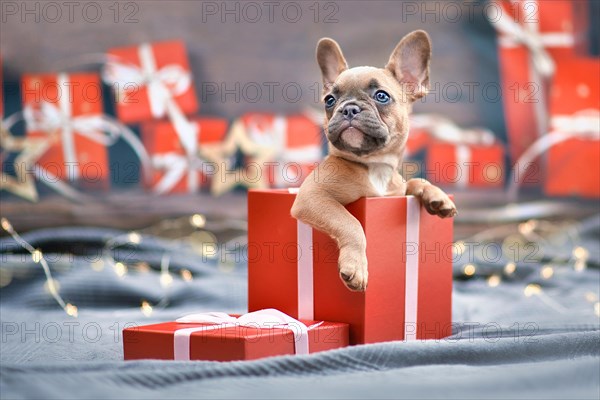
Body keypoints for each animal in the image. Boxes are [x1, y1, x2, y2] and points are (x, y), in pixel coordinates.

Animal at [292, 30, 458, 290]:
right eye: (329, 100)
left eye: (381, 96)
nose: (349, 108)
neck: (375, 166)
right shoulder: (312, 196)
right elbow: (350, 222)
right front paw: (355, 267)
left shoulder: (396, 192)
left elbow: (414, 182)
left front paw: (436, 196)